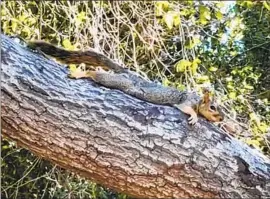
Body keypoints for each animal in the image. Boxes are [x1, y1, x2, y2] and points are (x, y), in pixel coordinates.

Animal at [26, 40, 224, 124]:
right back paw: (82, 74)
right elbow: (186, 108)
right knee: (95, 74)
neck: (198, 99)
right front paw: (194, 116)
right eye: (213, 107)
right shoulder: (186, 100)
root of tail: (127, 73)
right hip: (120, 82)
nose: (221, 118)